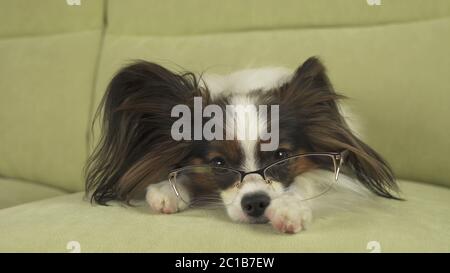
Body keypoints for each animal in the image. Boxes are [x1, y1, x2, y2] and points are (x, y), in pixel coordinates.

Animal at [86, 56, 400, 233]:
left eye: (281, 156)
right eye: (219, 163)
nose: (256, 203)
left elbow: (306, 180)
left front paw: (288, 207)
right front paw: (167, 190)